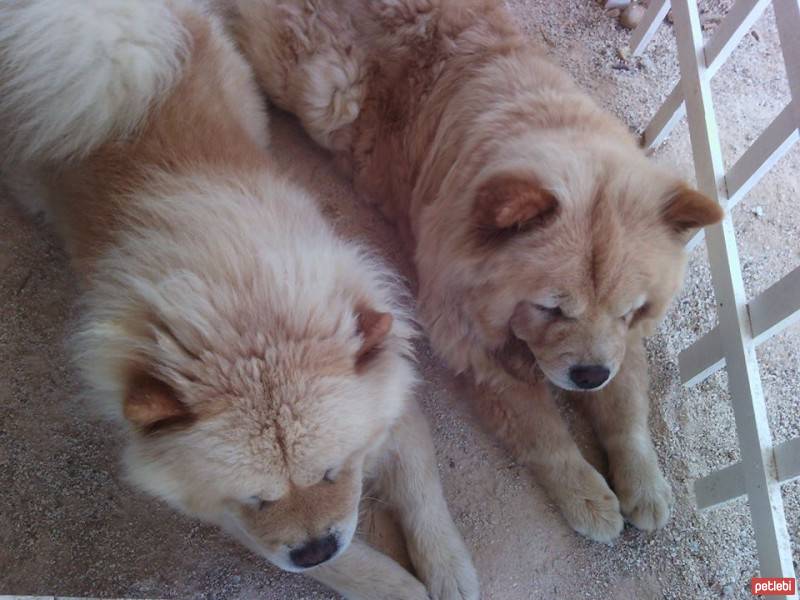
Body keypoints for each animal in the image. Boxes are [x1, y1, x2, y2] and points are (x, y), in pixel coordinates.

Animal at [0, 2, 476, 596]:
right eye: (257, 498)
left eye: (332, 470)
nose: (313, 548)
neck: (245, 308)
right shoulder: (221, 508)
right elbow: (354, 564)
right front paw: (397, 585)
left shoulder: (392, 382)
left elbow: (420, 486)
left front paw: (451, 571)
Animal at [225, 0, 724, 544]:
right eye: (550, 308)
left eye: (629, 311)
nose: (588, 375)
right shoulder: (473, 349)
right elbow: (542, 432)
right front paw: (588, 497)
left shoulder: (621, 346)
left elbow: (627, 407)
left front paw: (645, 485)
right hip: (321, 89)